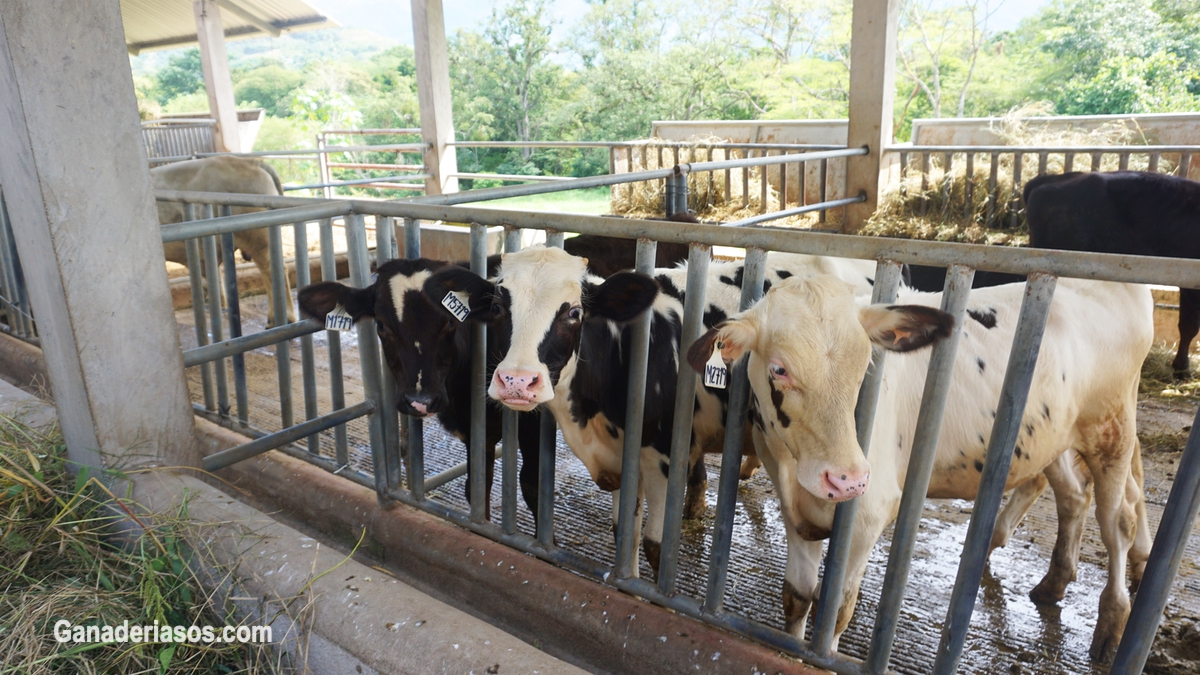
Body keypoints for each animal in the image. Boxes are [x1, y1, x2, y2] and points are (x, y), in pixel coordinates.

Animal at [427, 247, 878, 571]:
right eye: (498, 308)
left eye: (574, 312)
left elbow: (654, 543)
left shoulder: (660, 454)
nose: (517, 381)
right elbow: (622, 529)